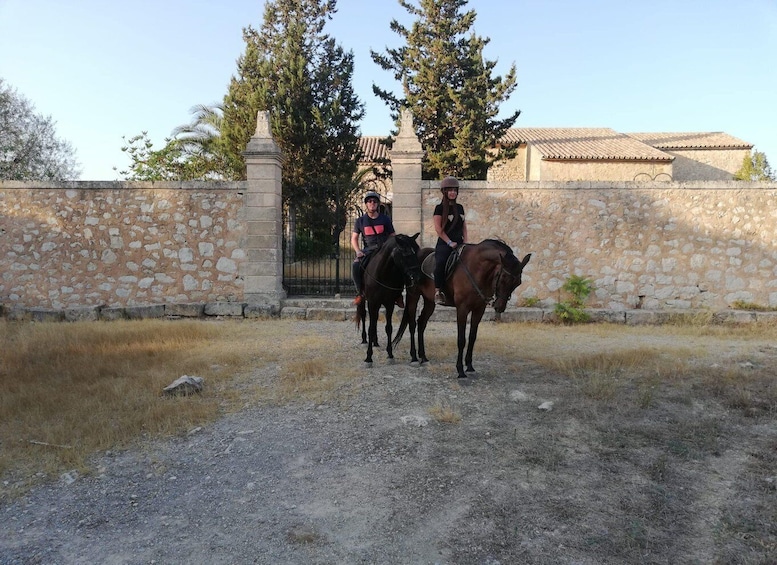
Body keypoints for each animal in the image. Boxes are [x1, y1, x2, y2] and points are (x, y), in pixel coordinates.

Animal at [356, 231, 422, 364]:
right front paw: (368, 357)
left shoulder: (389, 303)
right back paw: (365, 340)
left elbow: (389, 328)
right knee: (364, 315)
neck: (383, 274)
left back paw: (375, 341)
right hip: (365, 299)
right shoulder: (372, 302)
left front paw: (390, 354)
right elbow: (371, 327)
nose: (417, 277)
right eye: (406, 253)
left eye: (416, 252)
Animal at [392, 239, 532, 378]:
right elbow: (461, 339)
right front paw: (460, 370)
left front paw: (469, 366)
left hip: (430, 301)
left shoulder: (479, 310)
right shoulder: (462, 309)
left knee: (421, 323)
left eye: (518, 283)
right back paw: (414, 358)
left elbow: (472, 337)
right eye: (502, 278)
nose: (499, 307)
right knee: (412, 324)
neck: (476, 270)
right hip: (413, 296)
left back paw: (423, 357)